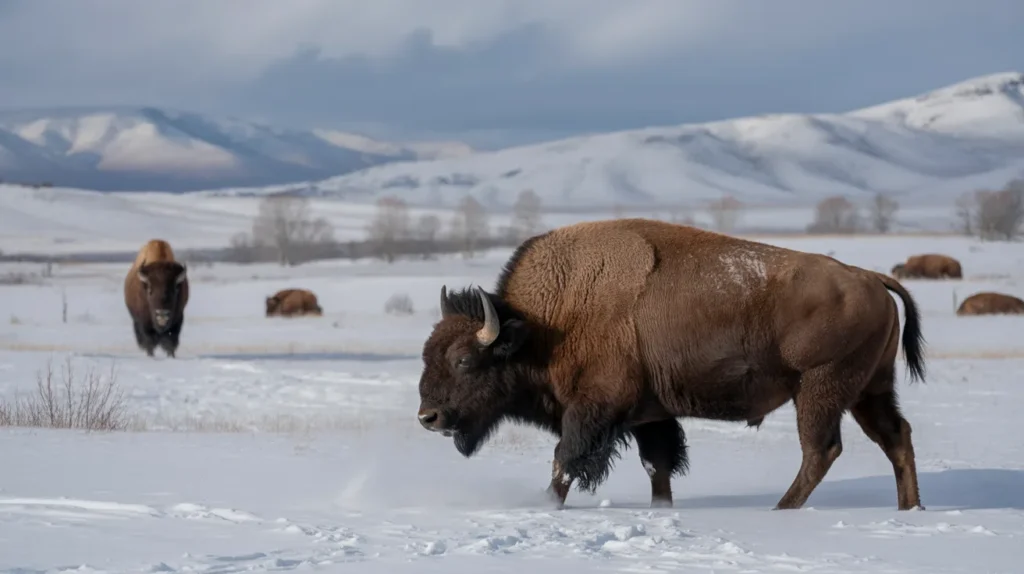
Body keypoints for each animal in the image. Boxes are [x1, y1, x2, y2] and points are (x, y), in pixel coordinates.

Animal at [417, 218, 926, 511]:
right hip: (869, 390)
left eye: (464, 360)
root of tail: (870, 278)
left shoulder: (593, 410)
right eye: (427, 353)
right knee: (896, 437)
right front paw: (662, 511)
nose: (428, 417)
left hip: (820, 388)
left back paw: (782, 510)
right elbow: (657, 465)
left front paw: (545, 509)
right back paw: (909, 509)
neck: (543, 327)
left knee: (821, 450)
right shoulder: (650, 415)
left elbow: (566, 460)